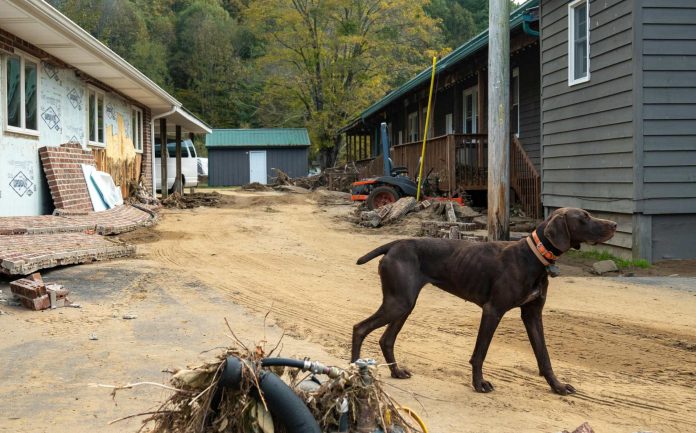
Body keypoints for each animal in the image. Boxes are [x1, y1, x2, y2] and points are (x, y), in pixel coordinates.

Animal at [350, 208, 616, 394]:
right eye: (584, 217)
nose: (614, 224)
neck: (533, 256)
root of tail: (394, 244)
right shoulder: (492, 310)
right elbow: (480, 353)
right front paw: (479, 384)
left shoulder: (532, 315)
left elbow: (544, 356)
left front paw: (557, 386)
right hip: (399, 303)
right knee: (360, 328)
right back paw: (354, 375)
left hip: (404, 304)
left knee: (386, 339)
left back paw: (396, 371)